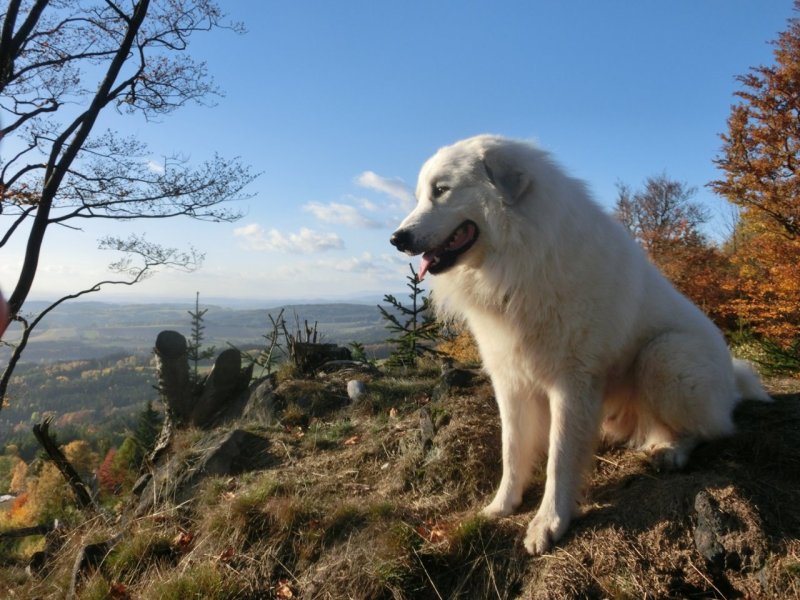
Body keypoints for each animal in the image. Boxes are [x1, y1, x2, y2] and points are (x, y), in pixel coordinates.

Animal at [390, 135, 772, 552]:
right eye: (420, 196)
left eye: (441, 190)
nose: (397, 239)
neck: (520, 258)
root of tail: (733, 379)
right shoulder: (510, 382)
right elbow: (512, 449)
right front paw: (503, 505)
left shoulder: (571, 383)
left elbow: (560, 457)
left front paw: (549, 523)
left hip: (665, 356)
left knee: (708, 428)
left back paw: (671, 451)